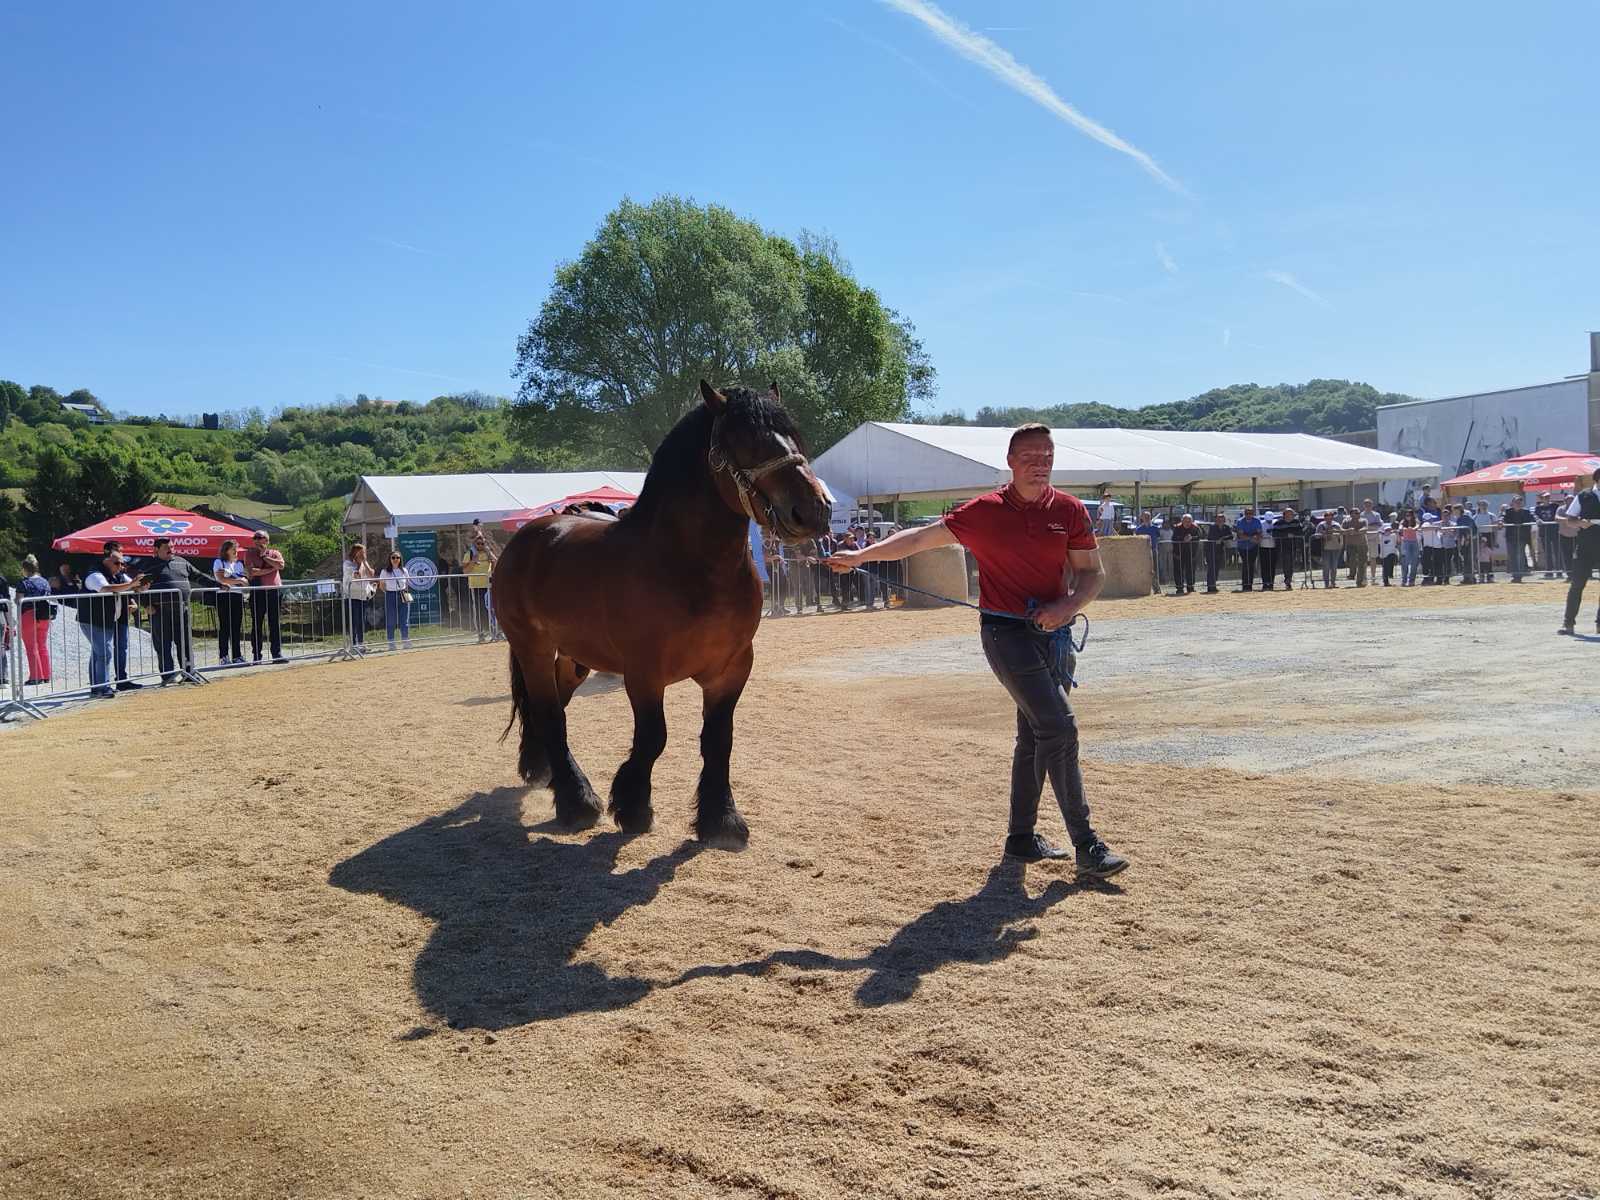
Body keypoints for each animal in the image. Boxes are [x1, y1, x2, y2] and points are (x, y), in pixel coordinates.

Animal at [492, 380, 832, 849]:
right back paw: (577, 802)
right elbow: (653, 738)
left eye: (794, 436)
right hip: (534, 649)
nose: (814, 510)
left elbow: (718, 740)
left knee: (554, 706)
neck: (688, 565)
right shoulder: (644, 673)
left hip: (574, 657)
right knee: (550, 715)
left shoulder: (732, 668)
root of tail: (531, 534)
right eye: (745, 440)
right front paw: (632, 806)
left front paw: (721, 820)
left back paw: (542, 768)